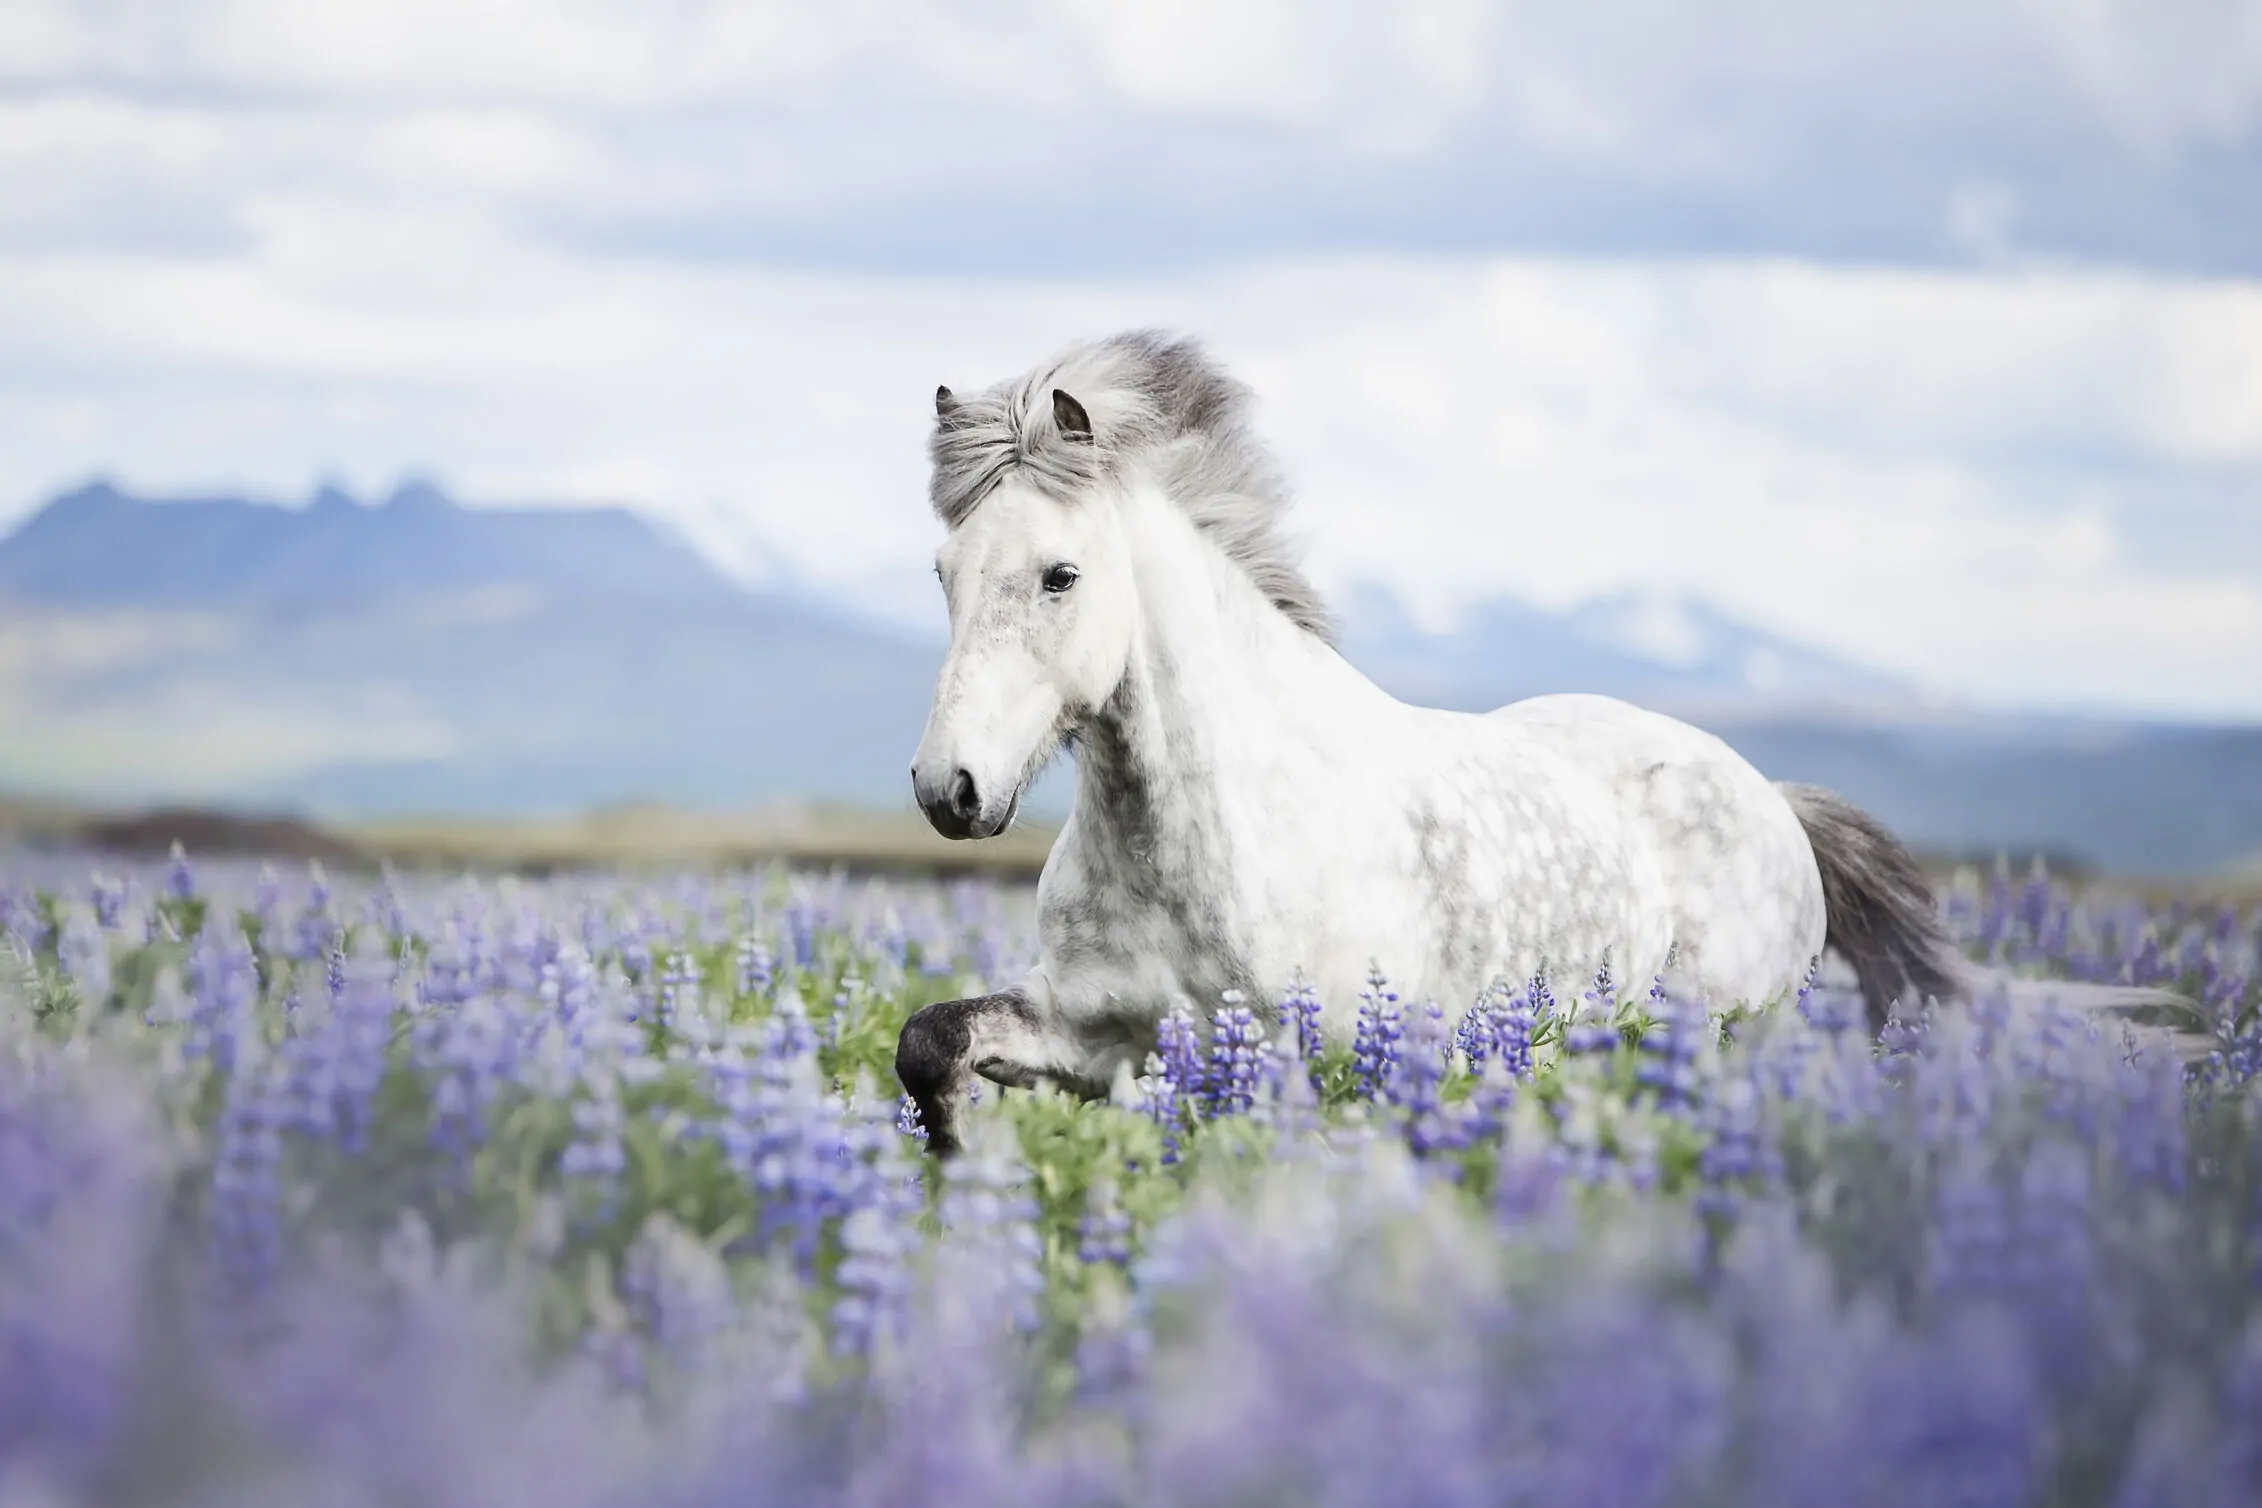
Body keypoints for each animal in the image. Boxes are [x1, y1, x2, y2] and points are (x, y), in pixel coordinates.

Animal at [900, 332, 2189, 1157]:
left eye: (1061, 575)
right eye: (945, 571)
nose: (947, 788)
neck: (1199, 835)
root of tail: (1770, 798)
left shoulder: (1292, 1056)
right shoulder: (1091, 1034)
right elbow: (930, 1046)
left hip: (1727, 1027)